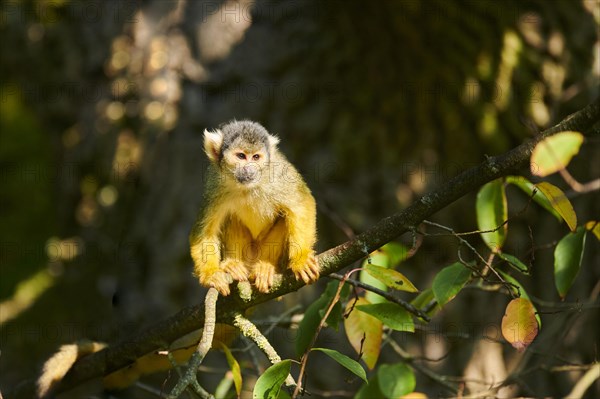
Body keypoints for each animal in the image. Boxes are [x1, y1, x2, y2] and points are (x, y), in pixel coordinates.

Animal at [189, 120, 318, 296]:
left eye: (256, 157)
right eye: (241, 156)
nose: (249, 168)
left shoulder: (279, 173)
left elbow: (302, 203)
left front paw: (301, 259)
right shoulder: (214, 183)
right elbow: (205, 231)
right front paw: (211, 275)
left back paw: (265, 266)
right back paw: (233, 265)